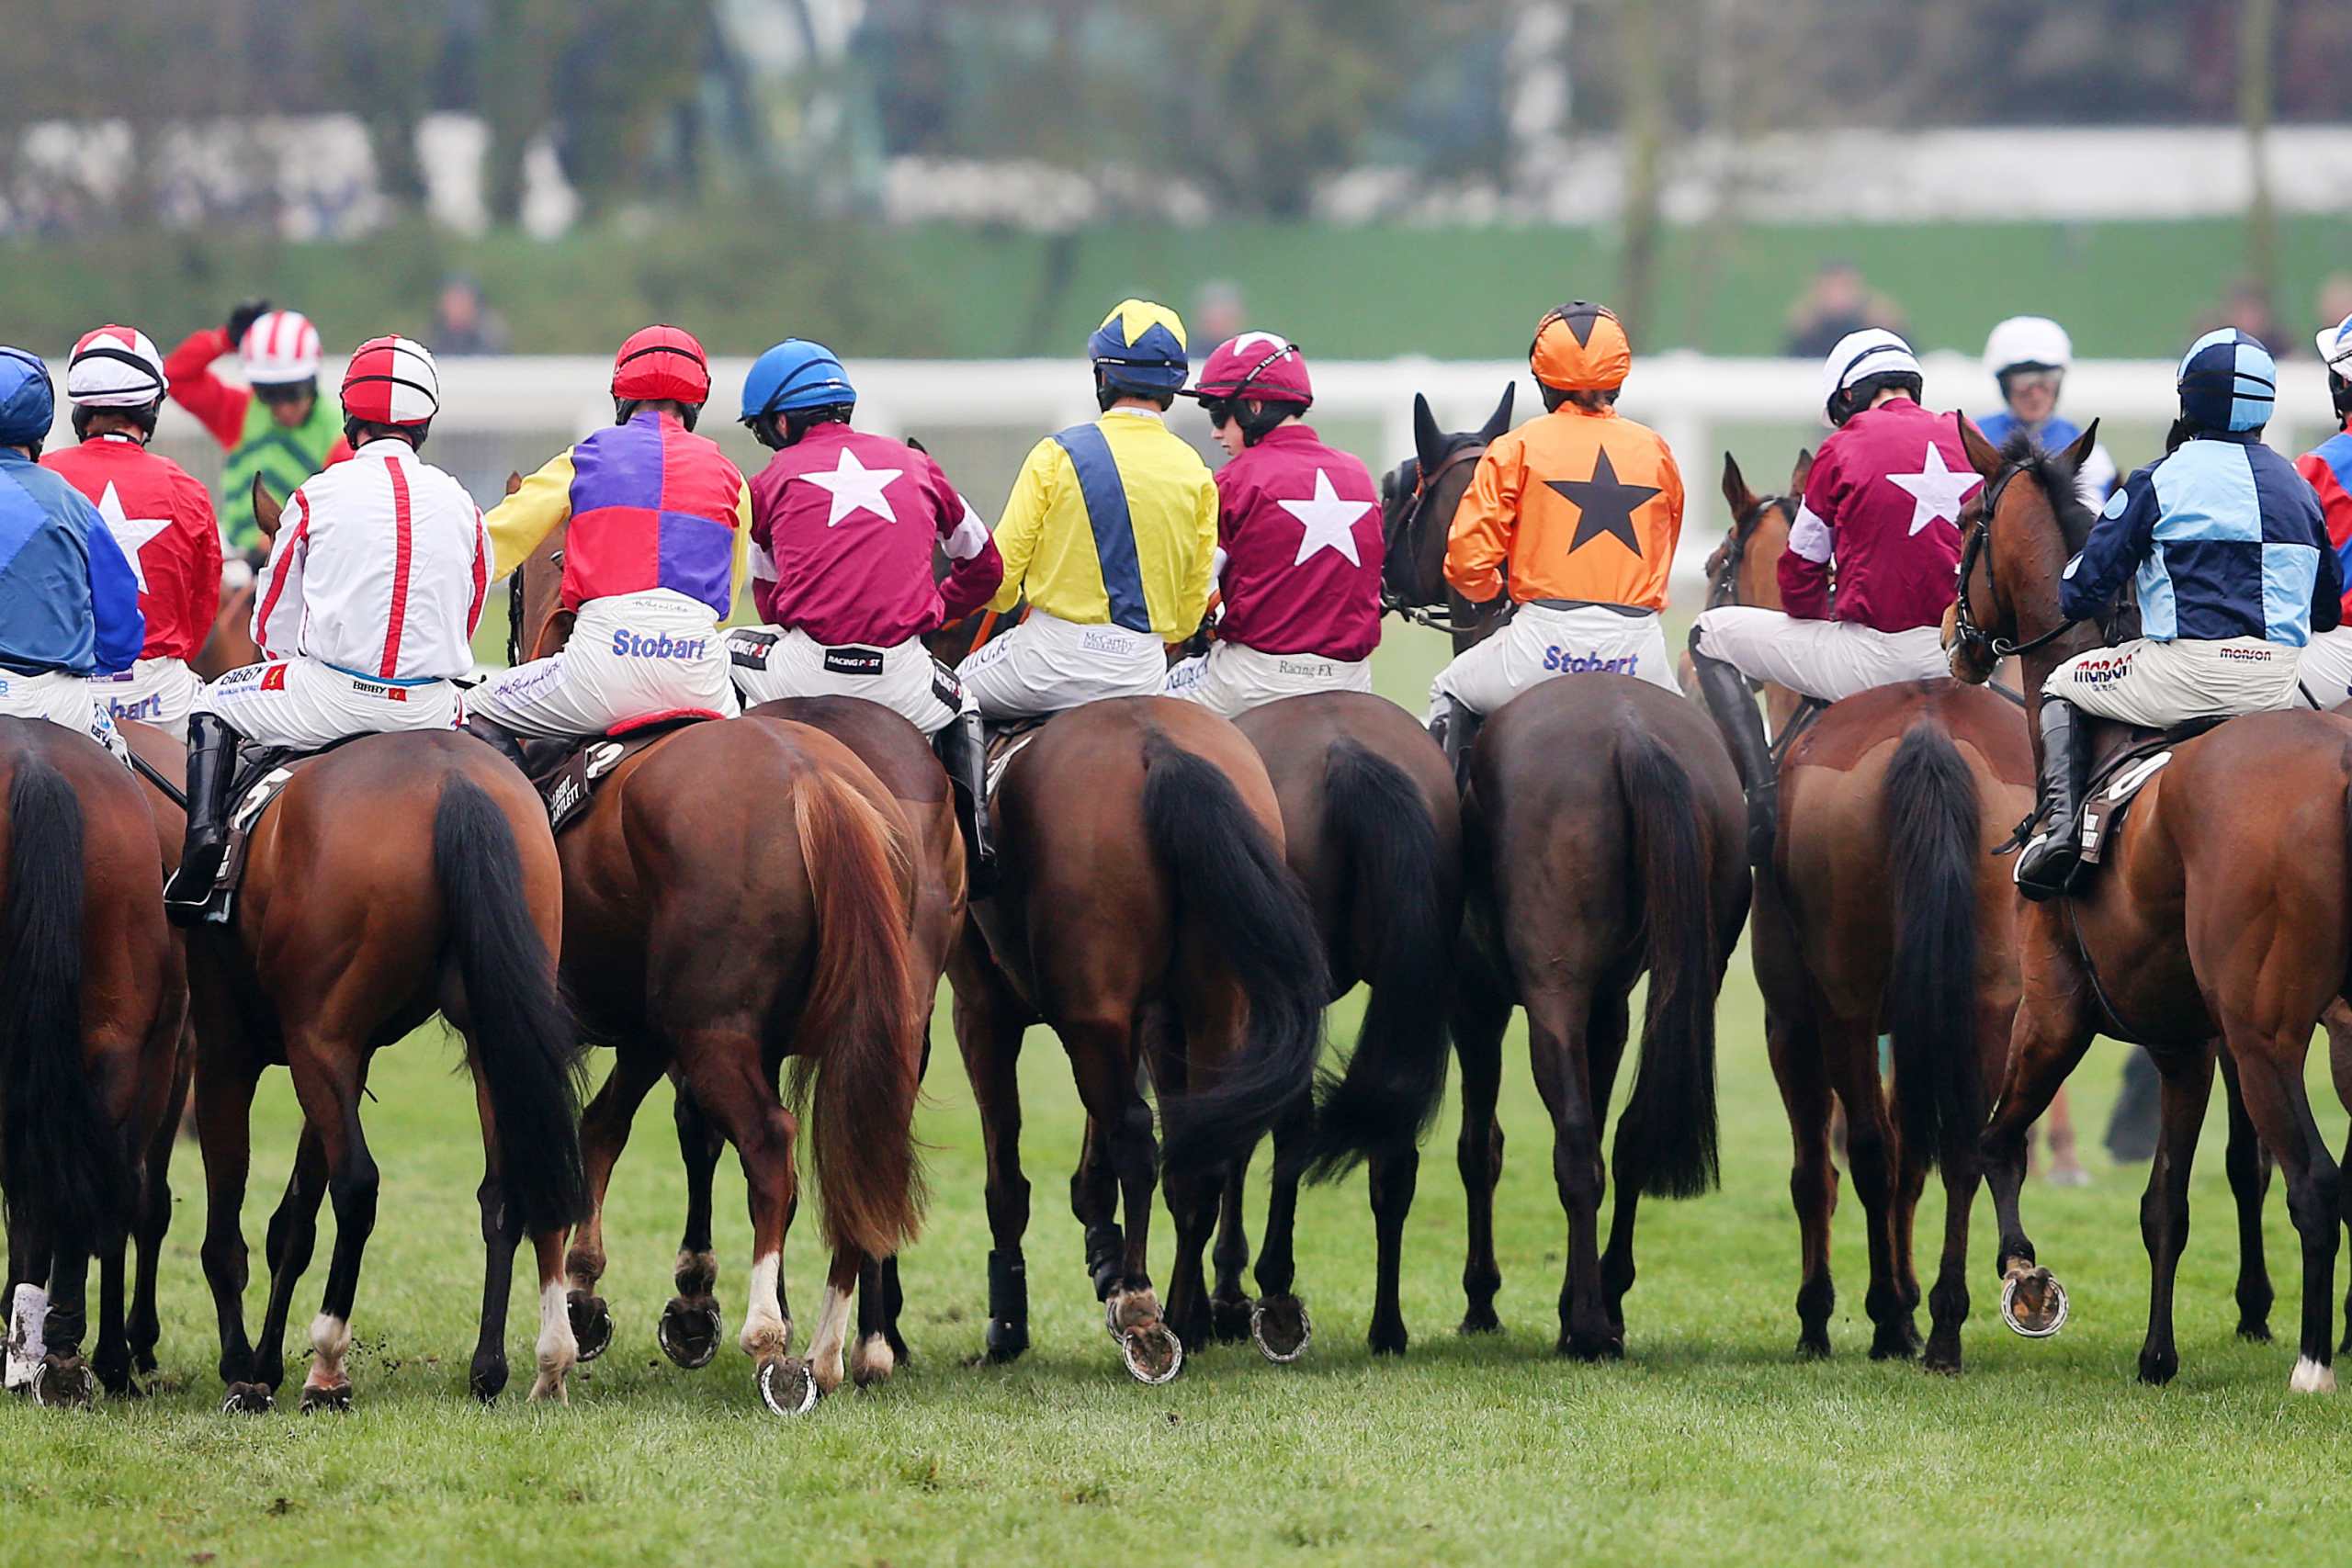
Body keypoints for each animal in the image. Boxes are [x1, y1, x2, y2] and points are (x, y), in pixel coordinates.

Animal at [1213, 691, 1467, 1354]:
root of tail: (1349, 755)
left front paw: (1227, 1292)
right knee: (1393, 1149)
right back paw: (1388, 1326)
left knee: (1289, 1125)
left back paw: (1275, 1289)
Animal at [1947, 423, 2352, 1392]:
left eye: (1967, 518)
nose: (1952, 636)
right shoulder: (2182, 1042)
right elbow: (2166, 1200)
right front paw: (2158, 1353)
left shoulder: (2054, 1011)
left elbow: (1994, 1141)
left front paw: (2024, 1278)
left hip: (2268, 1032)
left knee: (2317, 1183)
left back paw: (2316, 1363)